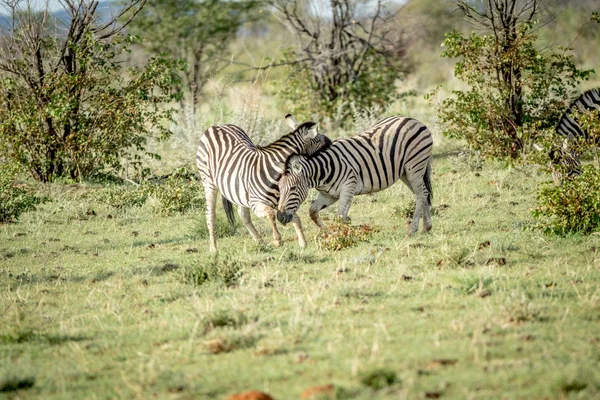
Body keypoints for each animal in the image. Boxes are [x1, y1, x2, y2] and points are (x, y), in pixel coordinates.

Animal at [196, 115, 330, 253]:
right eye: (322, 142)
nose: (332, 145)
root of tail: (217, 126)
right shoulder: (256, 203)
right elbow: (271, 214)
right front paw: (277, 240)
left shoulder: (281, 202)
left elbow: (295, 217)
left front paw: (303, 242)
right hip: (208, 182)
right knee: (210, 215)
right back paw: (213, 248)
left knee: (243, 215)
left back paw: (260, 243)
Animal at [274, 114, 434, 236]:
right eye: (279, 189)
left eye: (293, 188)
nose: (280, 217)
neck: (321, 173)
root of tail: (412, 119)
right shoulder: (329, 196)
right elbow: (313, 211)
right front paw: (327, 233)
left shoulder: (348, 188)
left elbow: (340, 217)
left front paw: (343, 236)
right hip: (405, 172)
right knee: (424, 193)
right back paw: (426, 227)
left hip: (414, 167)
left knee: (420, 195)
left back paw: (412, 230)